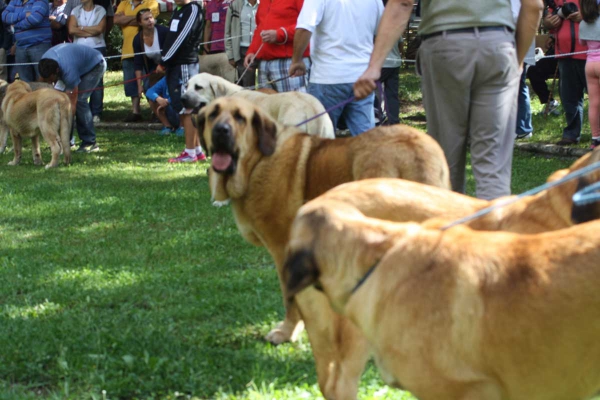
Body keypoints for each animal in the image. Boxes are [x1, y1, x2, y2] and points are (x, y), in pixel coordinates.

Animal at [195, 96, 452, 396]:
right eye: (212, 115)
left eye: (240, 118)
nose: (221, 131)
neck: (257, 161)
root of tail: (413, 147)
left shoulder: (283, 251)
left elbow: (290, 299)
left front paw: (286, 333)